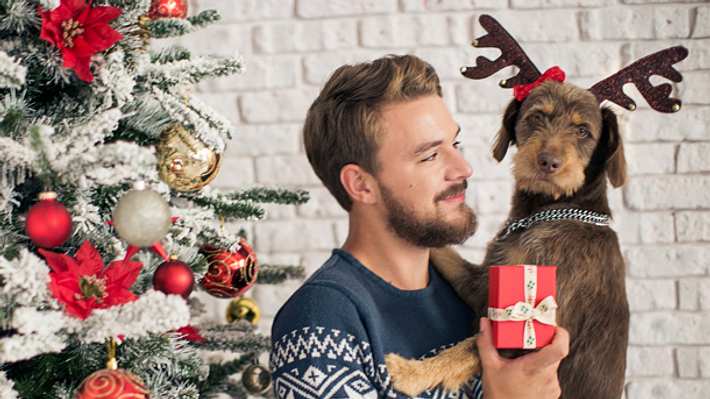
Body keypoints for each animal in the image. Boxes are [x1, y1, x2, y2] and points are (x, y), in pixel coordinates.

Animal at [384, 14, 688, 399]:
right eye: (536, 117)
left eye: (583, 131)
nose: (548, 162)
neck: (553, 210)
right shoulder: (484, 282)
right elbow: (447, 254)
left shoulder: (530, 331)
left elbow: (464, 349)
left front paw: (409, 372)